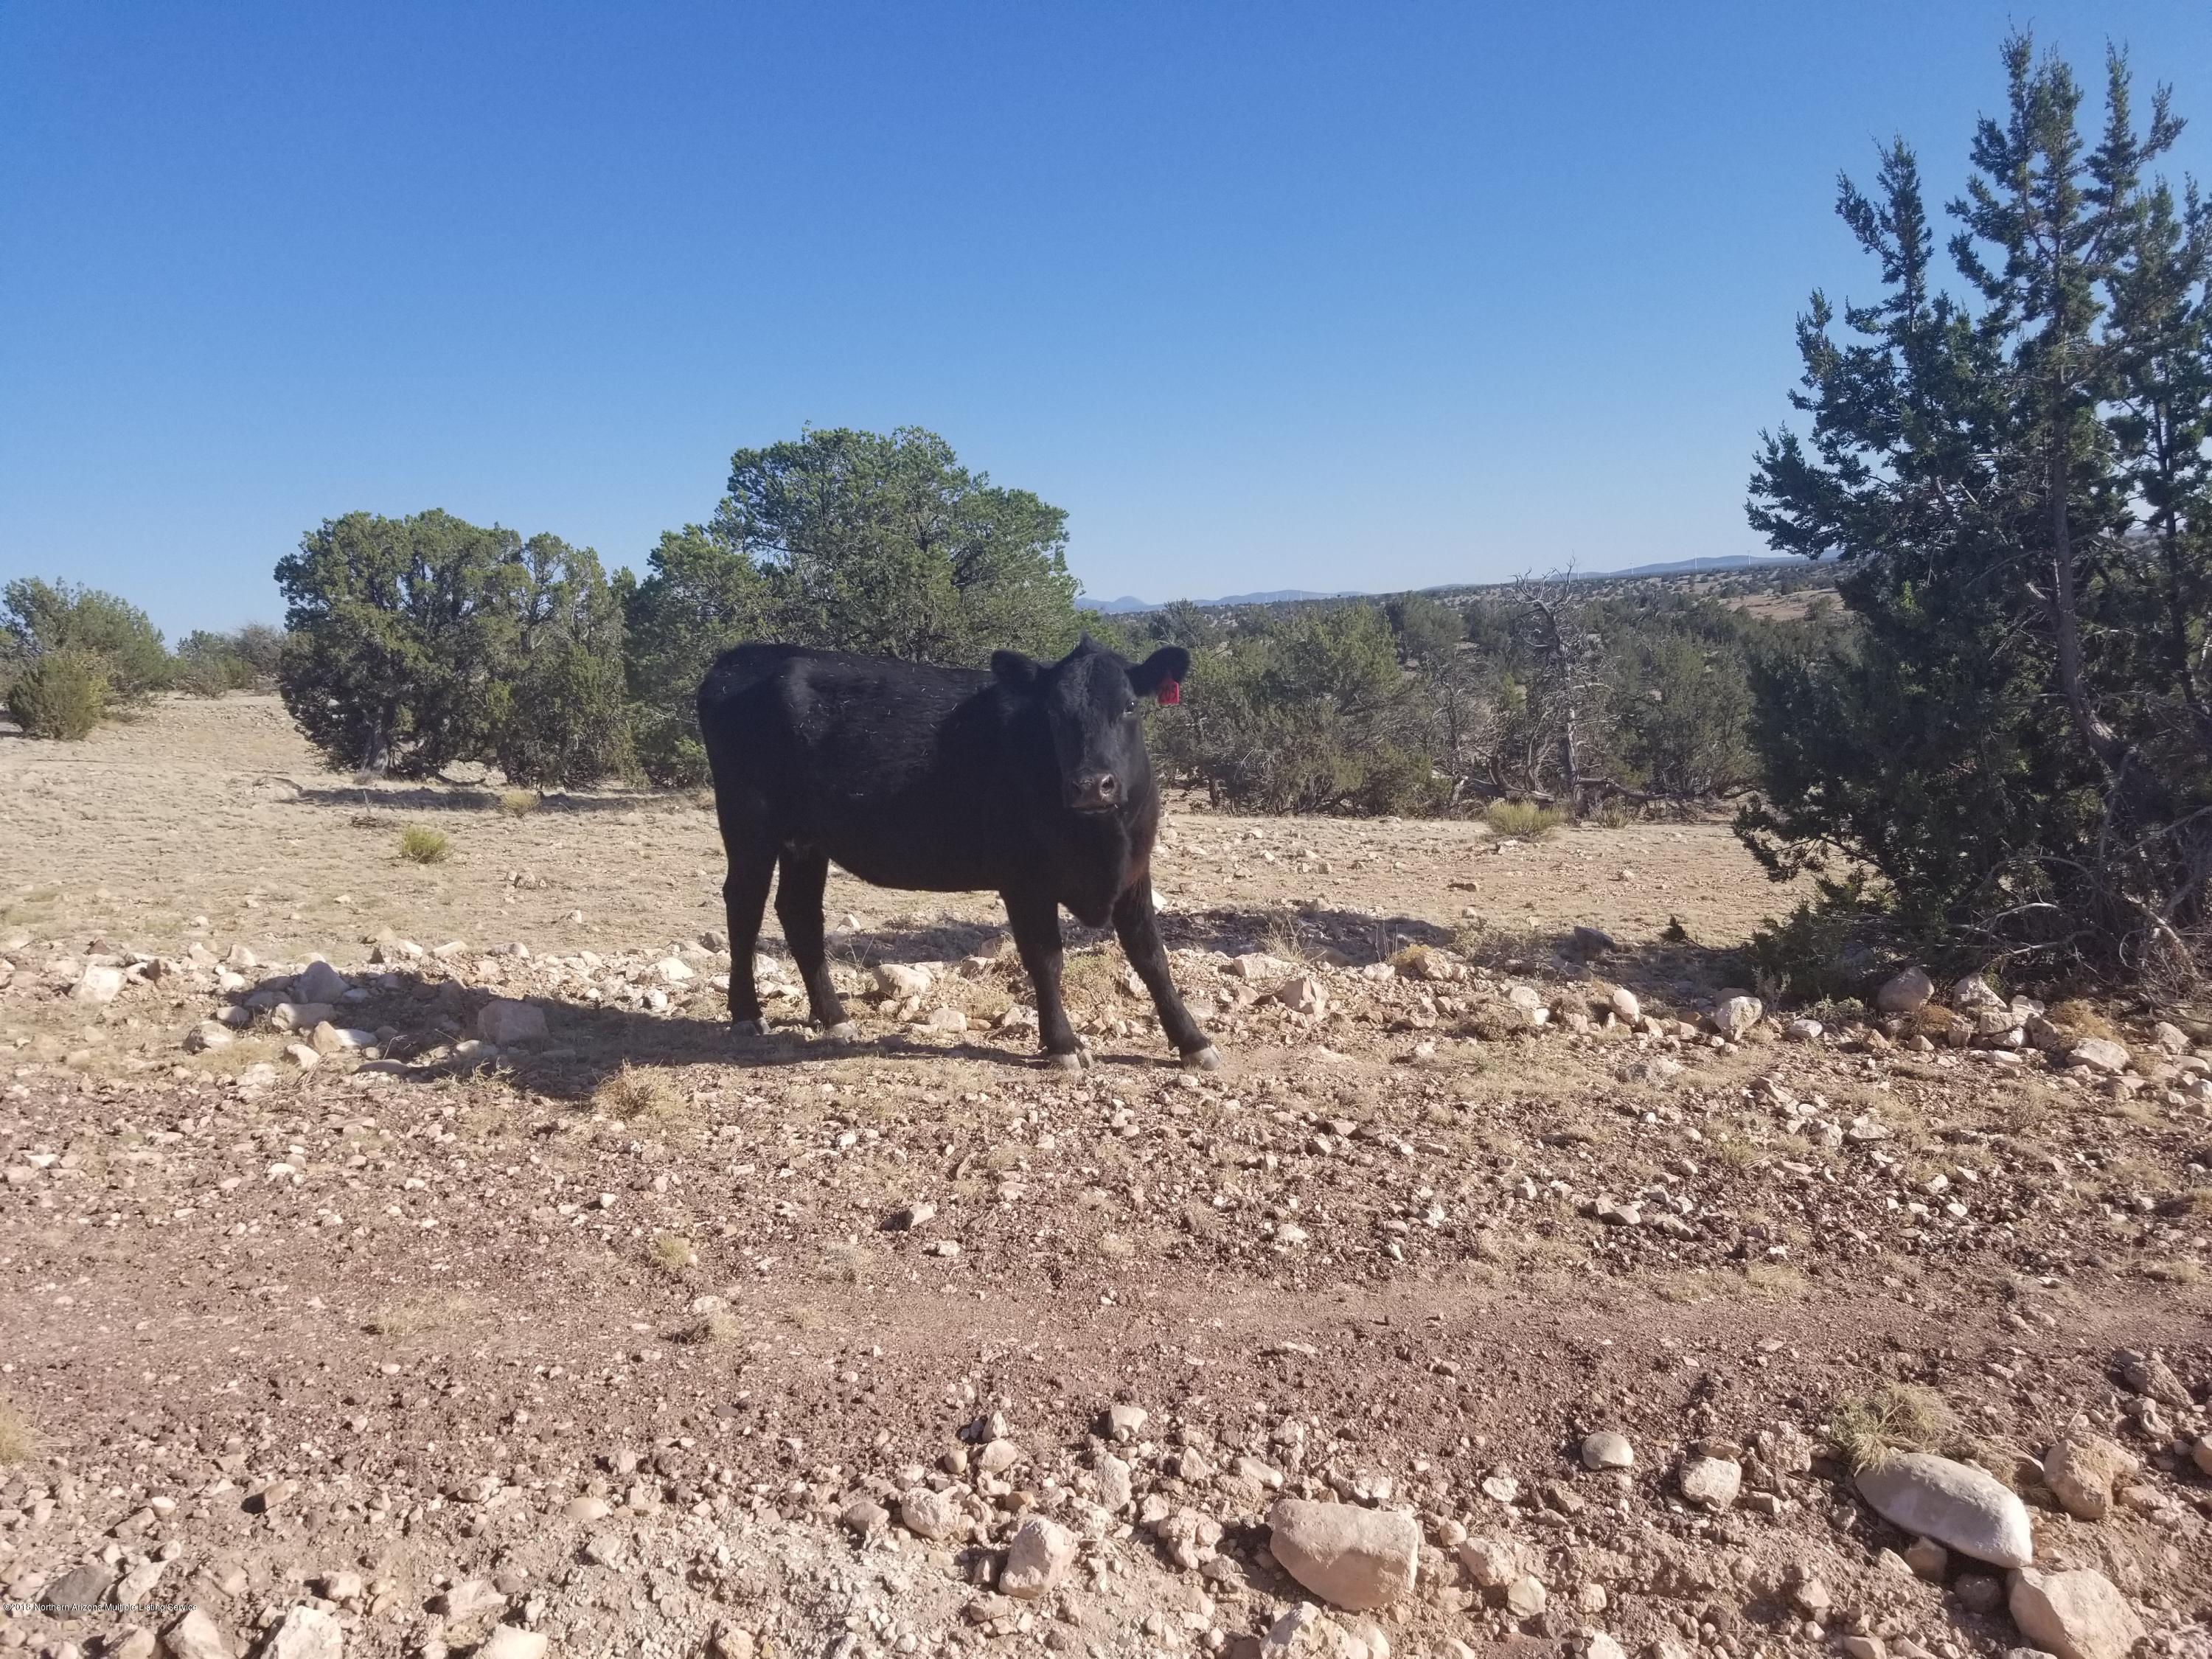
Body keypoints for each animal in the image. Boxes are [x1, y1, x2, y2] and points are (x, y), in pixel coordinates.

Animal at [696, 636, 1219, 1071]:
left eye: (1130, 706)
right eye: (1053, 711)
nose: (1092, 785)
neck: (1100, 841)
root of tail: (741, 657)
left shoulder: (1134, 872)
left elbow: (1151, 957)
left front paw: (1193, 1041)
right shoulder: (1022, 879)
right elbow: (1046, 958)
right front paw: (1063, 1045)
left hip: (806, 841)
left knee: (799, 913)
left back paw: (834, 1017)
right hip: (749, 821)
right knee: (744, 904)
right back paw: (747, 1014)